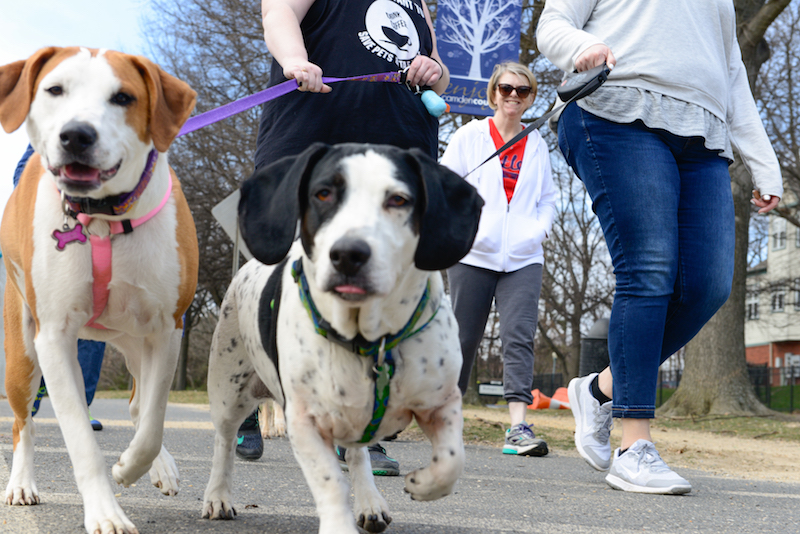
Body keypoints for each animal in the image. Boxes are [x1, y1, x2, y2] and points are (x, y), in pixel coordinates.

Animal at [0, 47, 198, 534]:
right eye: (54, 89)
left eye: (123, 97)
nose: (76, 134)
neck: (105, 217)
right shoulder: (53, 338)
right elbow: (80, 440)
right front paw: (106, 512)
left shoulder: (167, 330)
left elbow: (153, 420)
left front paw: (133, 466)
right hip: (23, 355)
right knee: (23, 423)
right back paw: (21, 484)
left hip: (133, 340)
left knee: (140, 405)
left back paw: (159, 466)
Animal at [203, 143, 484, 534]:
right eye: (323, 193)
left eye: (398, 199)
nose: (349, 254)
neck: (369, 338)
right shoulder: (303, 421)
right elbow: (330, 482)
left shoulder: (441, 403)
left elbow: (451, 462)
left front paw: (423, 484)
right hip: (228, 392)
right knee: (224, 443)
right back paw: (218, 495)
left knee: (358, 454)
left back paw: (370, 501)